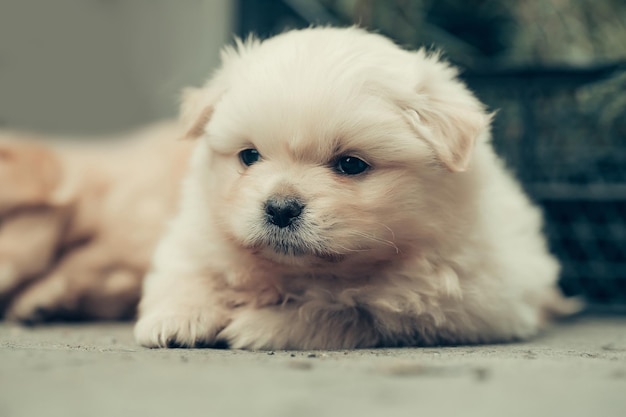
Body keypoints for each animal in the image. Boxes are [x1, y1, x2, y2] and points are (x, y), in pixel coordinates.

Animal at [134, 26, 572, 348]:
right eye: (249, 156)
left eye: (350, 164)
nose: (280, 208)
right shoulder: (196, 236)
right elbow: (189, 275)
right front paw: (176, 319)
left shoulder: (466, 299)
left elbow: (344, 307)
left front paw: (261, 326)